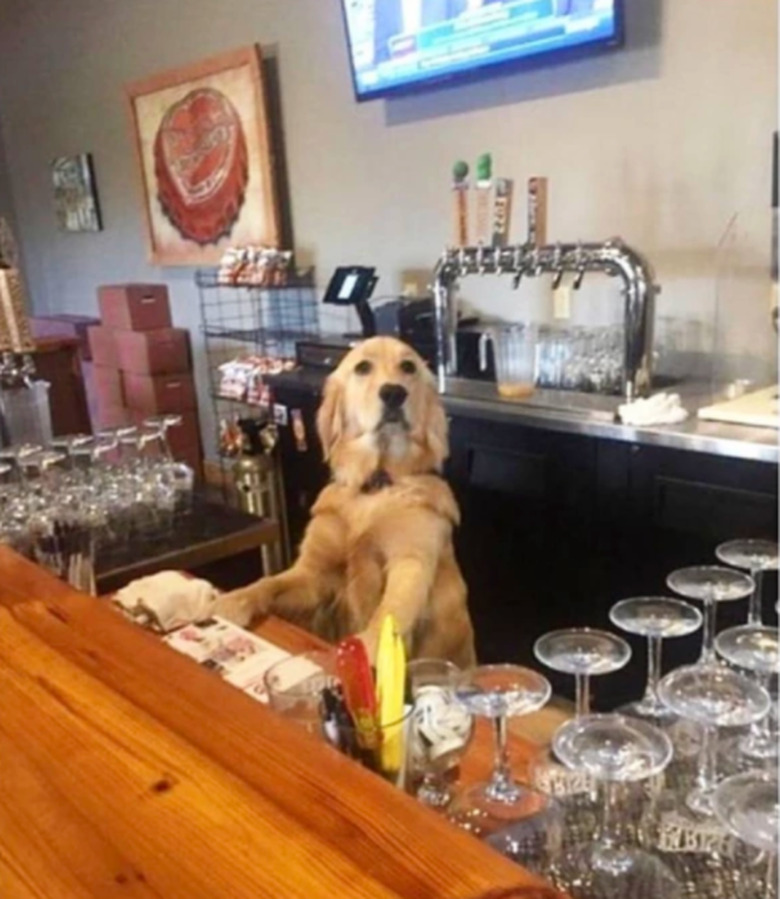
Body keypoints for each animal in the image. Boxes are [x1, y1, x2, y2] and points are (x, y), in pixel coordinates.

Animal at [216, 338, 478, 668]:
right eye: (363, 367)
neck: (374, 484)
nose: (394, 393)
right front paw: (230, 600)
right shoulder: (313, 574)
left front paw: (369, 649)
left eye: (409, 367)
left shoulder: (411, 561)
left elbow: (391, 609)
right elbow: (269, 582)